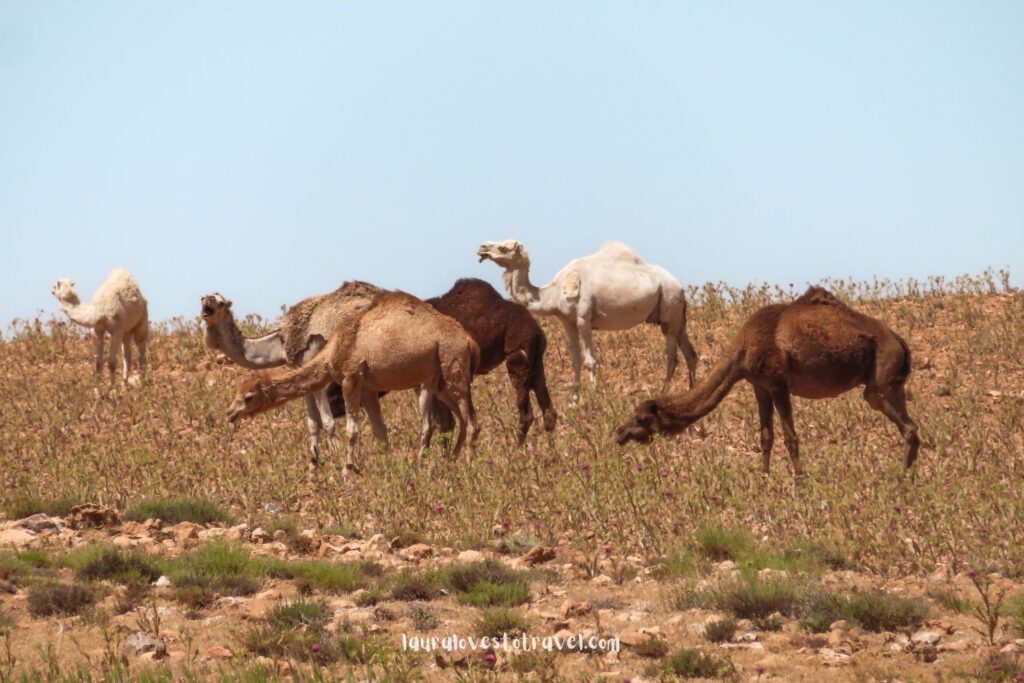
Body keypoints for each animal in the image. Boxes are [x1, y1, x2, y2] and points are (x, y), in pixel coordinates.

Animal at [197, 278, 378, 464]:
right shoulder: (300, 370)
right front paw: (314, 463)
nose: (207, 300)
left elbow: (328, 422)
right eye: (204, 298)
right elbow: (313, 423)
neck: (280, 345)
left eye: (221, 302)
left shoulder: (314, 367)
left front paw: (336, 456)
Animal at [226, 290, 481, 473]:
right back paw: (449, 463)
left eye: (248, 398)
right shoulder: (368, 388)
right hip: (439, 381)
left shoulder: (350, 379)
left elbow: (352, 430)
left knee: (470, 420)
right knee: (457, 418)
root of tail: (468, 340)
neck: (333, 350)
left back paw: (468, 467)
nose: (230, 413)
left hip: (453, 365)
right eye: (237, 395)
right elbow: (380, 431)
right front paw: (388, 468)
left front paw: (347, 470)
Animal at [477, 240, 700, 401]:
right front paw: (575, 401)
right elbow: (575, 361)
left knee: (672, 357)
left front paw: (594, 398)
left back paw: (663, 392)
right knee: (690, 354)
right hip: (677, 316)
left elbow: (590, 361)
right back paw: (692, 391)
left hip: (669, 305)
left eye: (503, 247)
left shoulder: (583, 318)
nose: (482, 248)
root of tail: (679, 286)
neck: (554, 293)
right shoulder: (567, 322)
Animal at [610, 286, 925, 479]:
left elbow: (790, 437)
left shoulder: (777, 383)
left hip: (880, 375)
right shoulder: (758, 385)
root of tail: (899, 340)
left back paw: (901, 478)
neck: (743, 349)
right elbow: (766, 437)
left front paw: (800, 481)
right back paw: (906, 478)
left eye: (641, 418)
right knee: (911, 425)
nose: (619, 433)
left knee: (893, 413)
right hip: (892, 381)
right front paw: (764, 478)